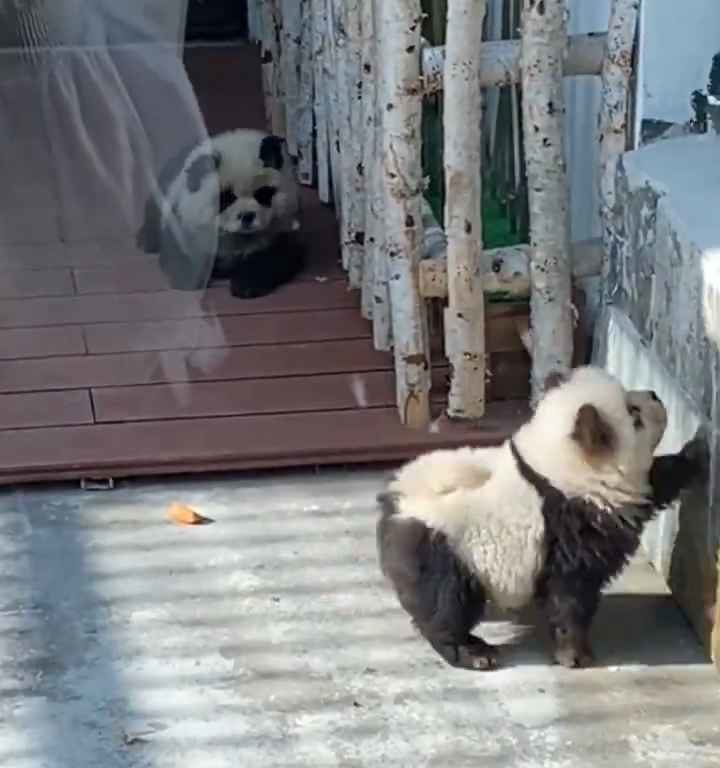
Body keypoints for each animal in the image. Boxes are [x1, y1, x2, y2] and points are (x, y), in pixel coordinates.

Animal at [138, 127, 304, 298]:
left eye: (263, 194)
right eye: (226, 198)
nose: (247, 216)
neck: (238, 237)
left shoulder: (280, 229)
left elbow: (278, 255)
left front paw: (246, 285)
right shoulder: (187, 220)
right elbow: (182, 251)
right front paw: (188, 278)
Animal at [380, 368, 704, 672]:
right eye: (633, 414)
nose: (655, 395)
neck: (556, 467)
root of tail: (395, 505)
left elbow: (656, 483)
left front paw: (695, 452)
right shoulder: (570, 525)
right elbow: (569, 594)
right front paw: (575, 654)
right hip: (449, 550)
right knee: (447, 602)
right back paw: (471, 652)